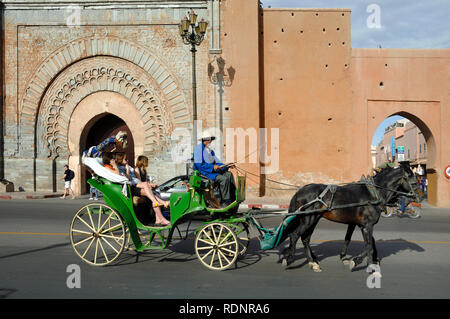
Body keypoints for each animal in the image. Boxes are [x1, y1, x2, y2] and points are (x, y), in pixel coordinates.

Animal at [280, 164, 424, 274]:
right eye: (414, 182)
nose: (421, 197)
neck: (373, 193)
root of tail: (299, 191)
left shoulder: (361, 225)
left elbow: (362, 241)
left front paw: (368, 261)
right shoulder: (368, 225)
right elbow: (369, 246)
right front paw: (363, 264)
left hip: (314, 219)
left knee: (305, 239)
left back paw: (312, 263)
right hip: (308, 218)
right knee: (295, 235)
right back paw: (290, 259)